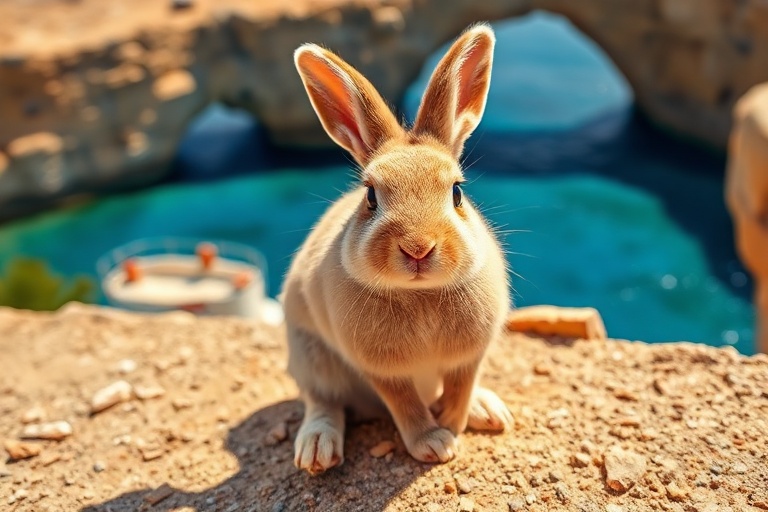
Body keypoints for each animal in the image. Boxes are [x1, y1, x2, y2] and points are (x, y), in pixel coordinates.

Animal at [283, 23, 512, 475]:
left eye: (457, 192)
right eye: (371, 196)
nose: (418, 248)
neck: (420, 293)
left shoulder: (470, 355)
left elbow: (460, 387)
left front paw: (454, 424)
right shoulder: (383, 369)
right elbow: (404, 403)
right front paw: (434, 444)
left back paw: (489, 410)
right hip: (310, 356)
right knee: (323, 401)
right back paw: (317, 450)